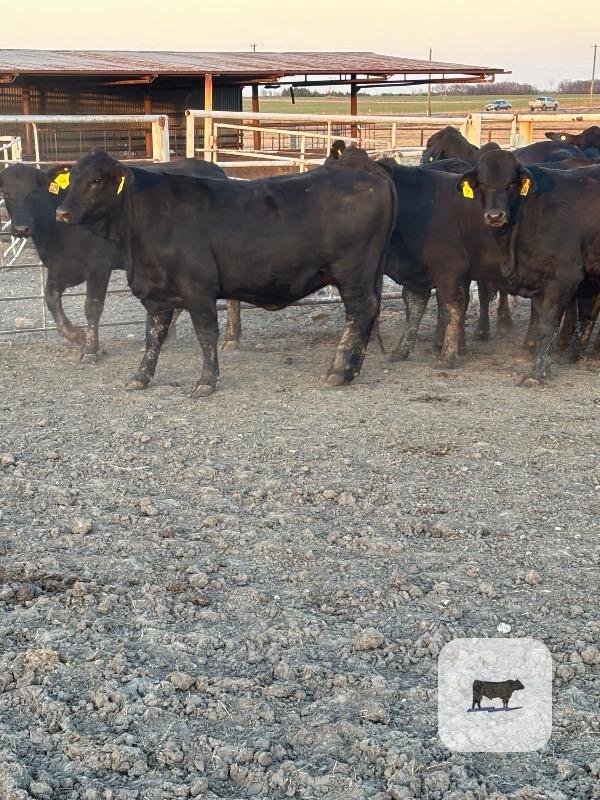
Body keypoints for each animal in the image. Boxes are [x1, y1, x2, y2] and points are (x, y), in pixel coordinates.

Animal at [0, 158, 232, 358]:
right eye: (6, 193)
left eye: (34, 192)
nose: (21, 229)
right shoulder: (60, 267)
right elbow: (51, 301)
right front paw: (78, 335)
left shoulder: (99, 265)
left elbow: (92, 307)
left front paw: (90, 349)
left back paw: (231, 339)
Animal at [55, 148, 396, 397]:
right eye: (71, 177)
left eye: (97, 180)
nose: (62, 212)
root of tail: (361, 166)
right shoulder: (158, 294)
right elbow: (153, 336)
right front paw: (140, 377)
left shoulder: (197, 289)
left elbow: (206, 334)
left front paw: (206, 381)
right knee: (367, 313)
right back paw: (351, 370)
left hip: (354, 273)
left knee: (360, 312)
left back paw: (338, 372)